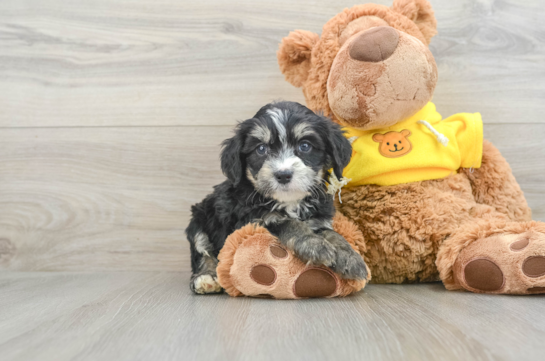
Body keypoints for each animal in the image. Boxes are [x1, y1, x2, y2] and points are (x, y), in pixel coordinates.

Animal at [185, 100, 368, 292]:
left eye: (305, 146)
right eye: (261, 149)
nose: (283, 174)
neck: (289, 202)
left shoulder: (319, 220)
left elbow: (333, 234)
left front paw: (350, 257)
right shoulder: (253, 221)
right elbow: (288, 223)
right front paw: (314, 245)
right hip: (199, 218)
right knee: (202, 250)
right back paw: (205, 278)